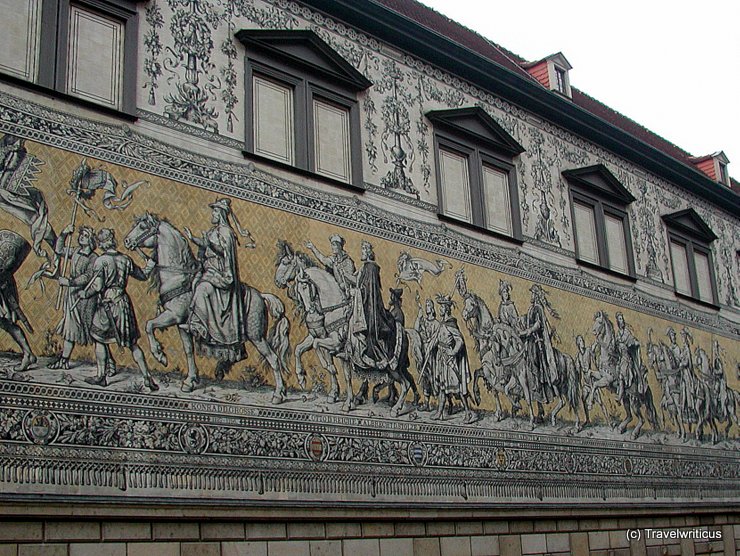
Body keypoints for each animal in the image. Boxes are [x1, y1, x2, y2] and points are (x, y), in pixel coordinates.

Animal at [123, 212, 290, 400]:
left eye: (143, 227)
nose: (127, 241)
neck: (179, 276)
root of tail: (262, 296)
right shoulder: (182, 325)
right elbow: (188, 351)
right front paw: (190, 381)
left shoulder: (172, 315)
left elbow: (149, 325)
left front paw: (160, 355)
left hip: (257, 336)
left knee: (273, 358)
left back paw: (278, 394)